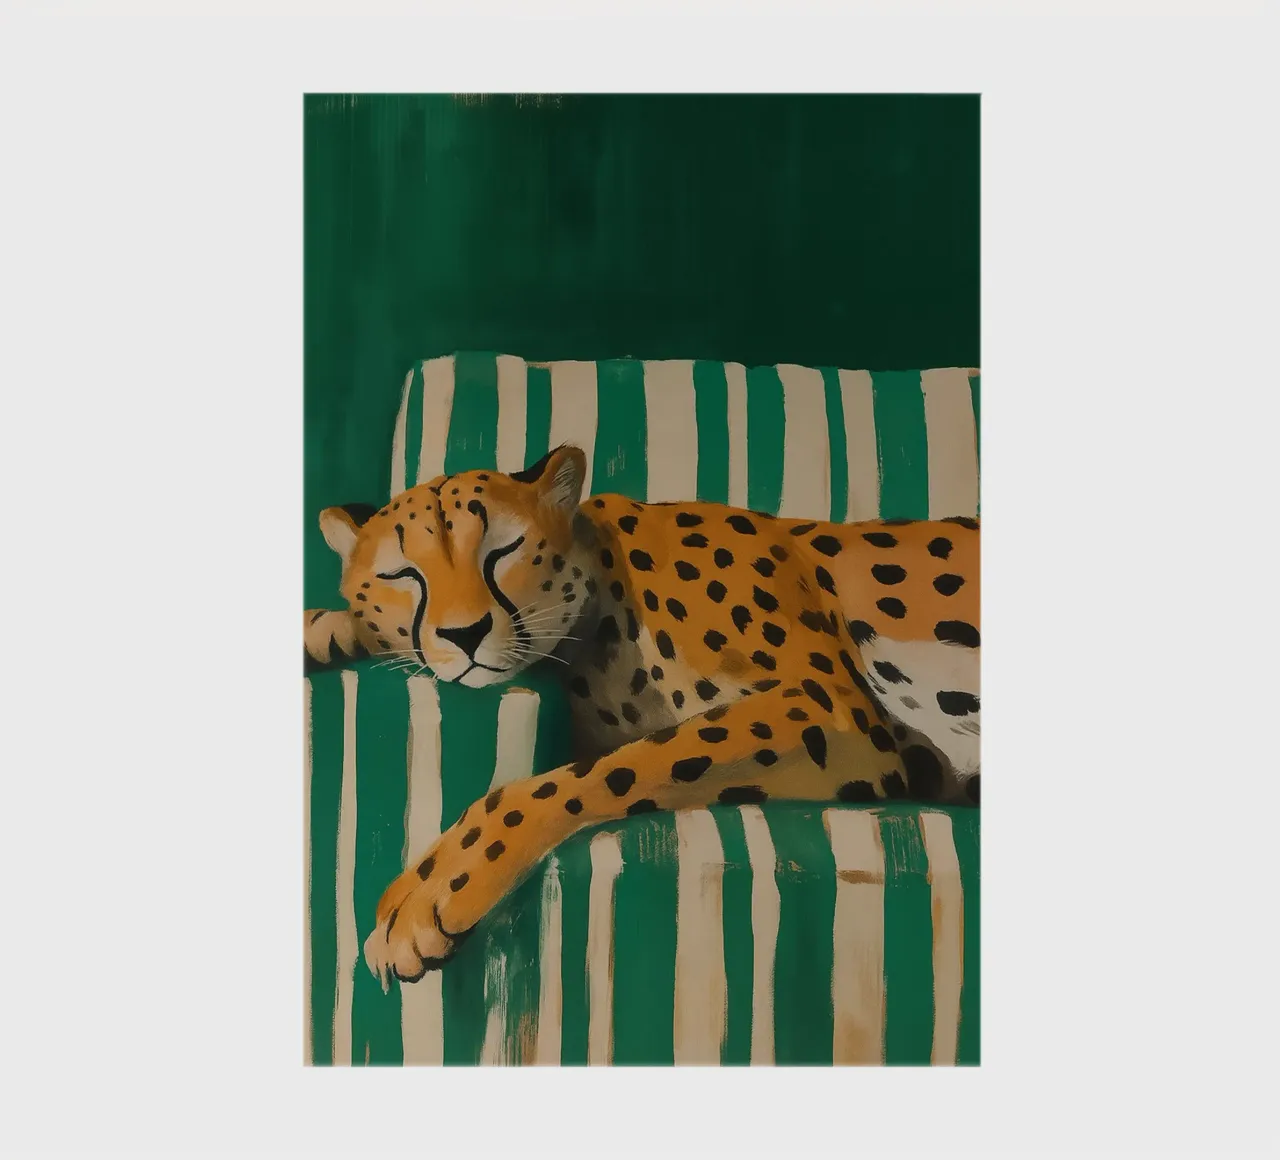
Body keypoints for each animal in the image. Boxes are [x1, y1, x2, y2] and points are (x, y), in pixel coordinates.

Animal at [303, 444, 980, 987]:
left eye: (504, 550)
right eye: (401, 574)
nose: (464, 634)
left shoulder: (830, 710)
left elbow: (611, 771)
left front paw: (428, 894)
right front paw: (329, 628)